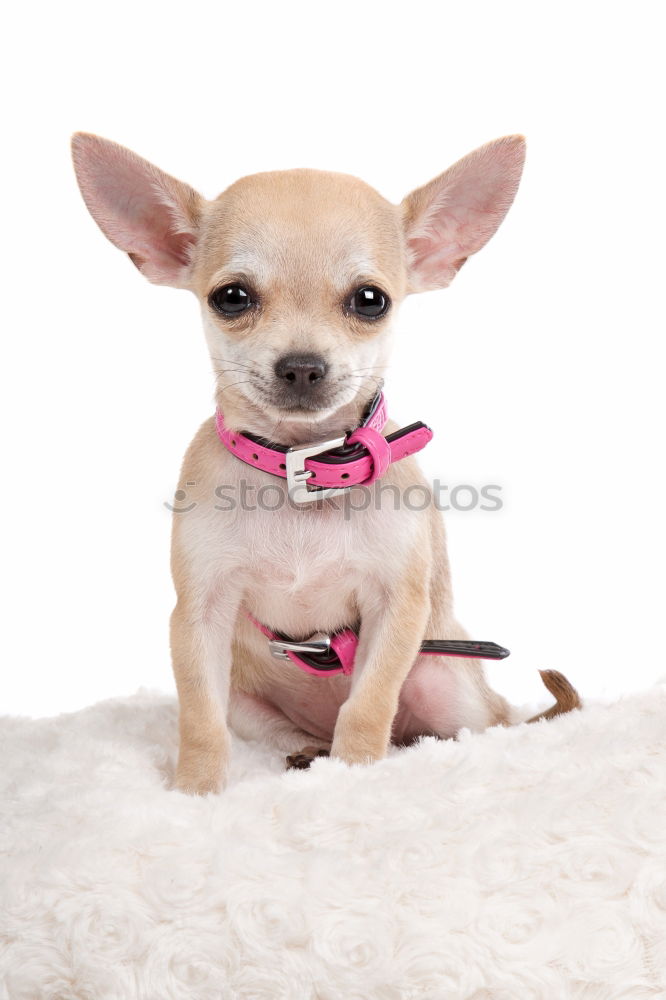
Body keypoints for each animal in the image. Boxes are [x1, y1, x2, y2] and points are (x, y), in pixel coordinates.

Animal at [68, 133, 576, 792]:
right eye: (232, 297)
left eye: (370, 301)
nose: (302, 366)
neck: (304, 468)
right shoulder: (200, 614)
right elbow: (199, 717)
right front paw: (196, 792)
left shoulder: (394, 610)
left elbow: (367, 705)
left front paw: (353, 773)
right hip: (248, 701)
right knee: (279, 730)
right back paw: (305, 754)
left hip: (446, 681)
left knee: (465, 726)